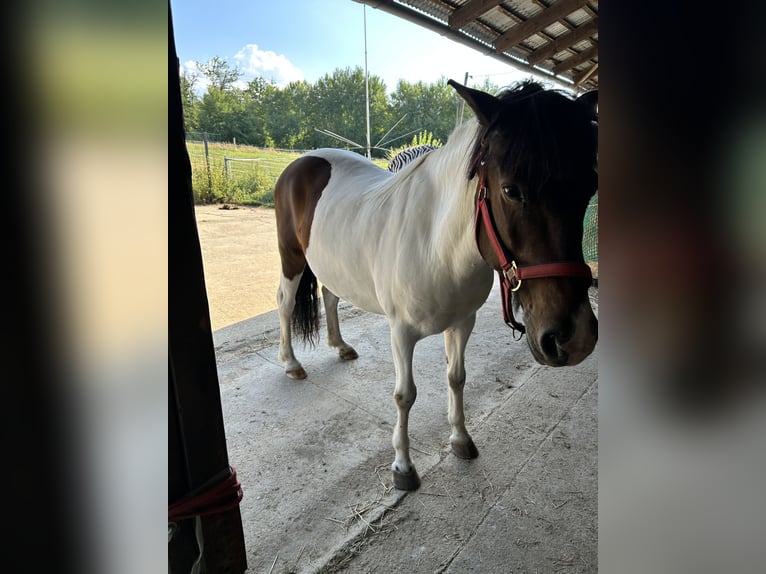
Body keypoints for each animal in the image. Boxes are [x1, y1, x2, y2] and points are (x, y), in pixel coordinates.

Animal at [274, 79, 598, 491]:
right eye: (511, 190)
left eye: (589, 188)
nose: (576, 338)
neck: (433, 242)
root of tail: (302, 162)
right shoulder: (400, 332)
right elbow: (405, 395)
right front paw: (402, 467)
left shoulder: (462, 323)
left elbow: (456, 378)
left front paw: (461, 439)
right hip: (291, 259)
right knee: (285, 304)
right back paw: (291, 363)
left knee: (330, 296)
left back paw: (341, 346)